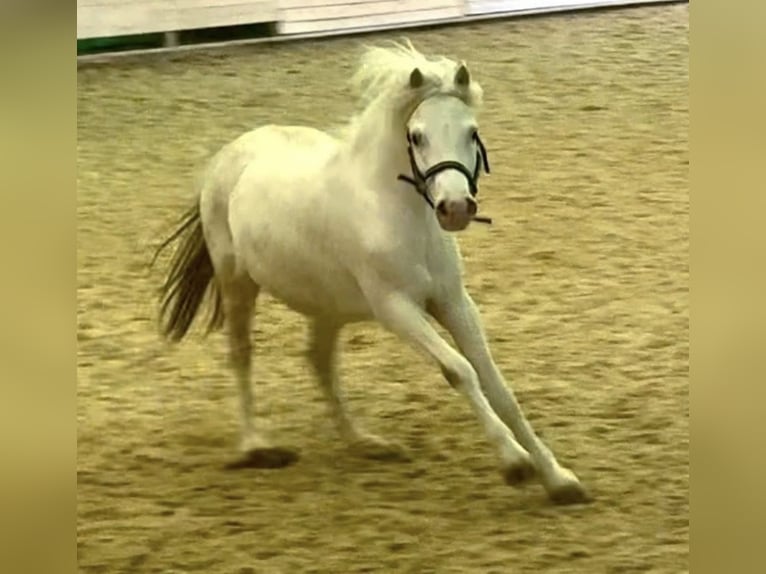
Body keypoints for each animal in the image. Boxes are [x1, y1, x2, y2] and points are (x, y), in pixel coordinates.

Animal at [153, 40, 590, 505]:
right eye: (417, 136)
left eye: (471, 132)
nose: (455, 208)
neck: (401, 215)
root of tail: (231, 154)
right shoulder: (395, 308)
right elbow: (459, 370)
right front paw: (515, 464)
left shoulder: (454, 301)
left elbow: (496, 383)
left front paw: (559, 479)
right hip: (238, 283)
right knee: (242, 354)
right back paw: (256, 446)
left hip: (327, 305)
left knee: (319, 361)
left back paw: (365, 442)